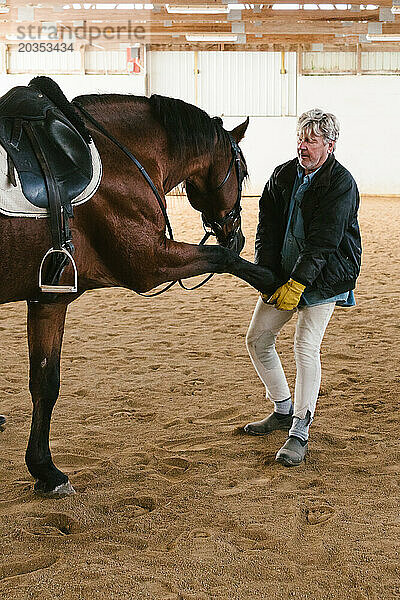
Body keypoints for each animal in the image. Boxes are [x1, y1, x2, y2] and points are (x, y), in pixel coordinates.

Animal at [0, 76, 276, 496]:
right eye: (242, 172)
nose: (237, 234)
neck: (119, 157)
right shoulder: (148, 262)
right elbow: (221, 259)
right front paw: (275, 279)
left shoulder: (48, 297)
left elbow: (44, 382)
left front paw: (44, 470)